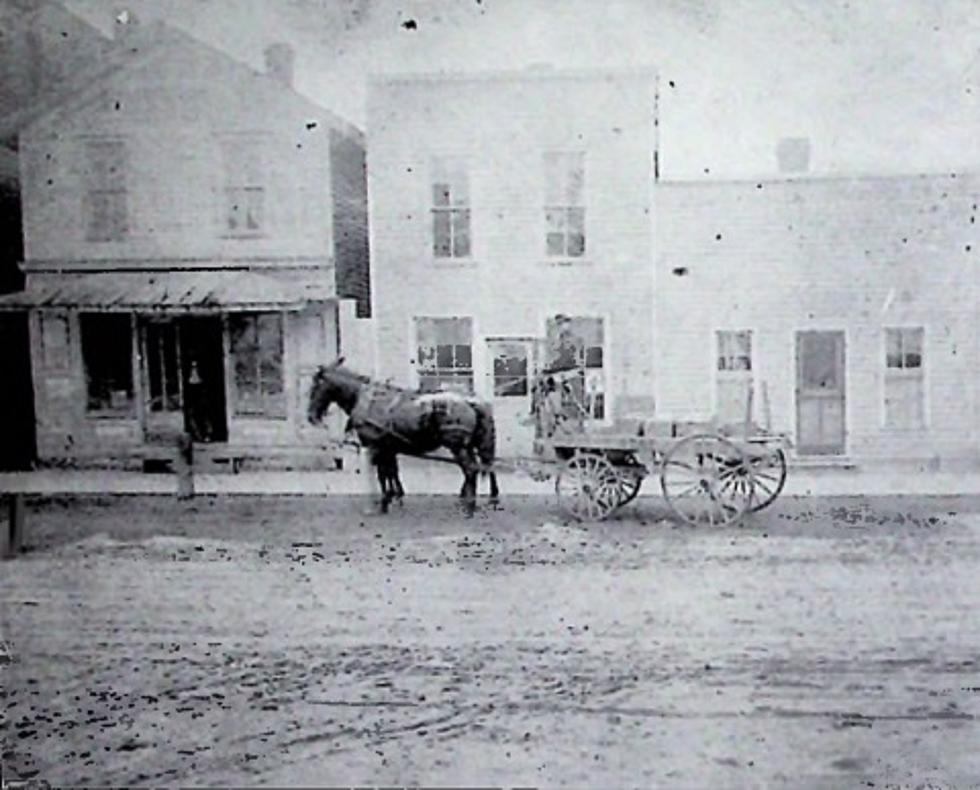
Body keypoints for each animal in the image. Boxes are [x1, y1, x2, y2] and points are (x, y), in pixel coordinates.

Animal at [308, 360, 498, 520]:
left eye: (315, 386)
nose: (311, 416)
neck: (368, 401)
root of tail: (470, 401)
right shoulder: (388, 447)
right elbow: (391, 471)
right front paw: (395, 497)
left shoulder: (376, 446)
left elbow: (383, 474)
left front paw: (385, 501)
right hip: (472, 445)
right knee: (483, 466)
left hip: (458, 446)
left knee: (470, 470)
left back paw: (469, 507)